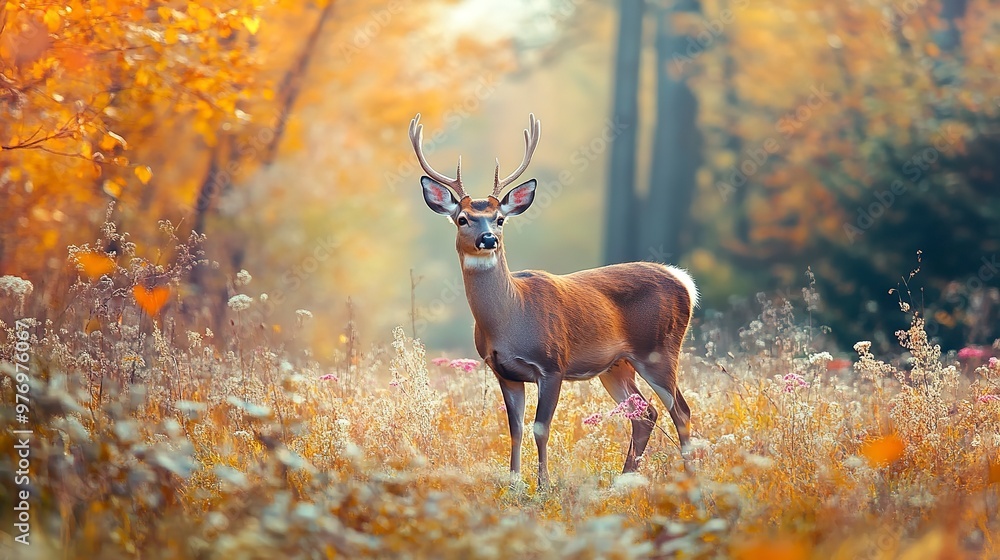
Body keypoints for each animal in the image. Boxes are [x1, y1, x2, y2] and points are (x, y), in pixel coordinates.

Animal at [410, 112, 700, 486]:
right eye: (462, 219)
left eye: (500, 219)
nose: (488, 239)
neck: (510, 318)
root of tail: (684, 282)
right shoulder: (504, 371)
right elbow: (515, 429)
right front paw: (514, 482)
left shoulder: (552, 364)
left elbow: (541, 428)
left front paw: (543, 484)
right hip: (616, 365)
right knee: (645, 413)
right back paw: (623, 481)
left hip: (660, 350)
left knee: (681, 410)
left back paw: (689, 479)